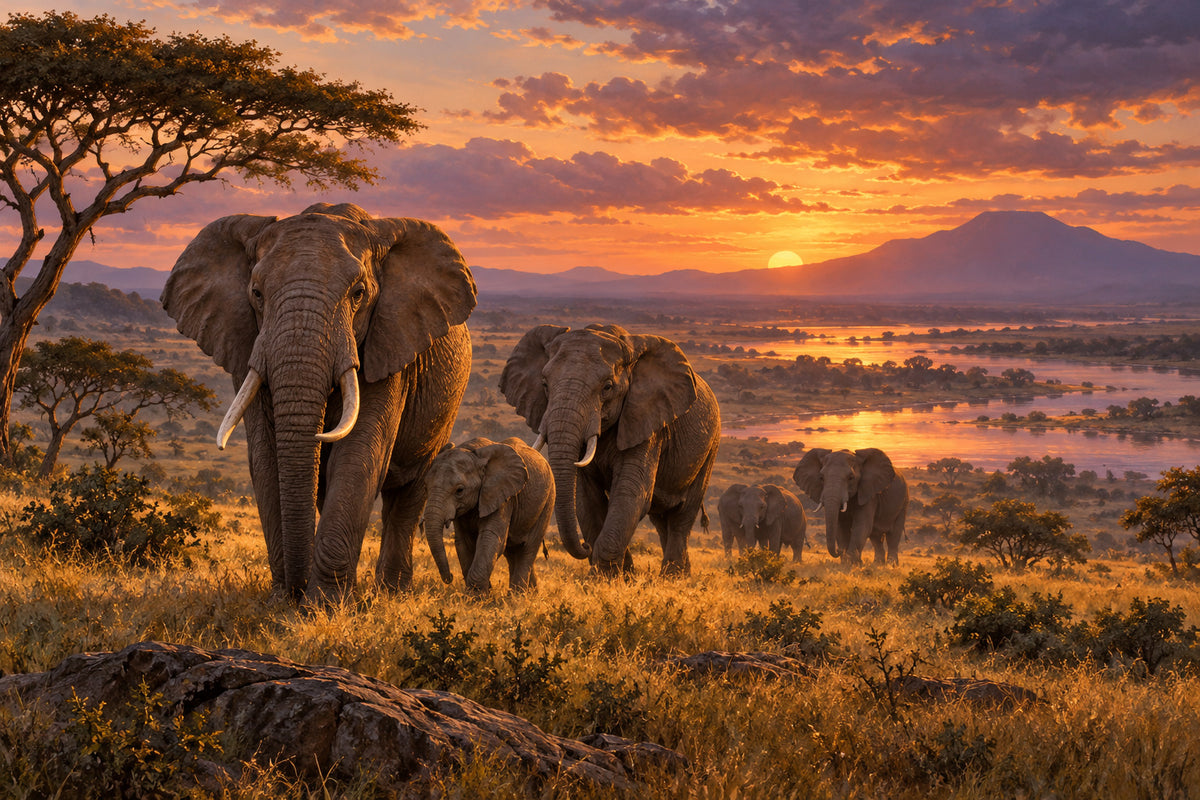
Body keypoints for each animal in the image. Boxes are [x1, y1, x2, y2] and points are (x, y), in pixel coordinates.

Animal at [161, 202, 476, 603]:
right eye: (256, 293)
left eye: (358, 293)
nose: (295, 591)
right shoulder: (249, 344)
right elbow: (265, 456)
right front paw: (284, 600)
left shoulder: (388, 346)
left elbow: (360, 454)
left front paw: (325, 604)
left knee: (409, 492)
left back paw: (390, 592)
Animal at [422, 437, 554, 594]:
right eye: (426, 487)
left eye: (460, 490)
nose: (450, 577)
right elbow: (463, 542)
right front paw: (481, 594)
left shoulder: (502, 497)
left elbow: (491, 538)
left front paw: (477, 597)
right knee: (512, 551)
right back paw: (527, 594)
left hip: (548, 501)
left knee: (527, 549)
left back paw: (517, 597)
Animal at [500, 324, 720, 576]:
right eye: (544, 384)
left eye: (607, 387)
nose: (584, 546)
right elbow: (586, 499)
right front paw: (618, 576)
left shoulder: (645, 421)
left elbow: (630, 494)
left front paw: (607, 577)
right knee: (661, 519)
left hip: (711, 446)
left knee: (682, 516)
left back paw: (673, 577)